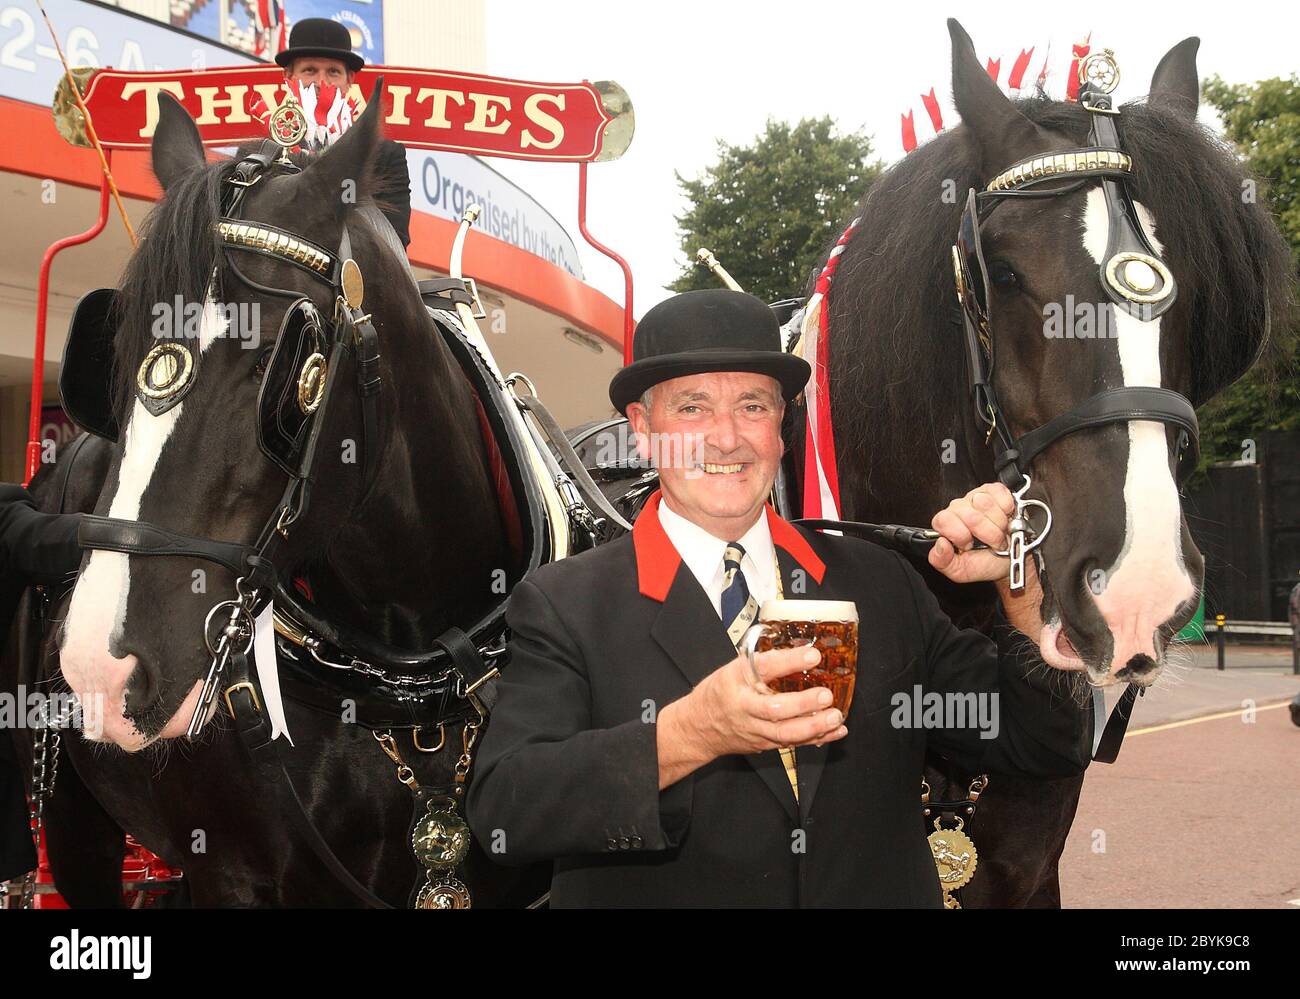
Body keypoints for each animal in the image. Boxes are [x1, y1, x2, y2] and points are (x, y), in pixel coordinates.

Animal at [2, 83, 548, 905]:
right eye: (116, 354)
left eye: (279, 357)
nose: (102, 667)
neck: (415, 681)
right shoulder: (227, 873)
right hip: (72, 825)